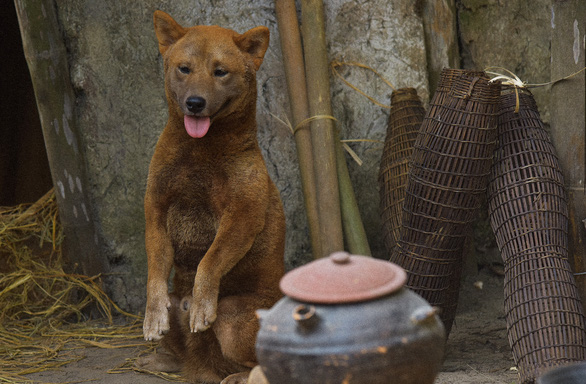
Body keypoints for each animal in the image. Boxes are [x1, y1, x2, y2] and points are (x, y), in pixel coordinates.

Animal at [140, 10, 286, 382]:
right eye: (184, 68)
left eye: (220, 71)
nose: (195, 102)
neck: (198, 154)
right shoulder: (155, 209)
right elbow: (155, 270)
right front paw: (152, 318)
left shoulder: (242, 214)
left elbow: (209, 261)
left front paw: (202, 308)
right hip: (179, 305)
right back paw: (163, 359)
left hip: (233, 316)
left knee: (260, 364)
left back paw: (236, 376)